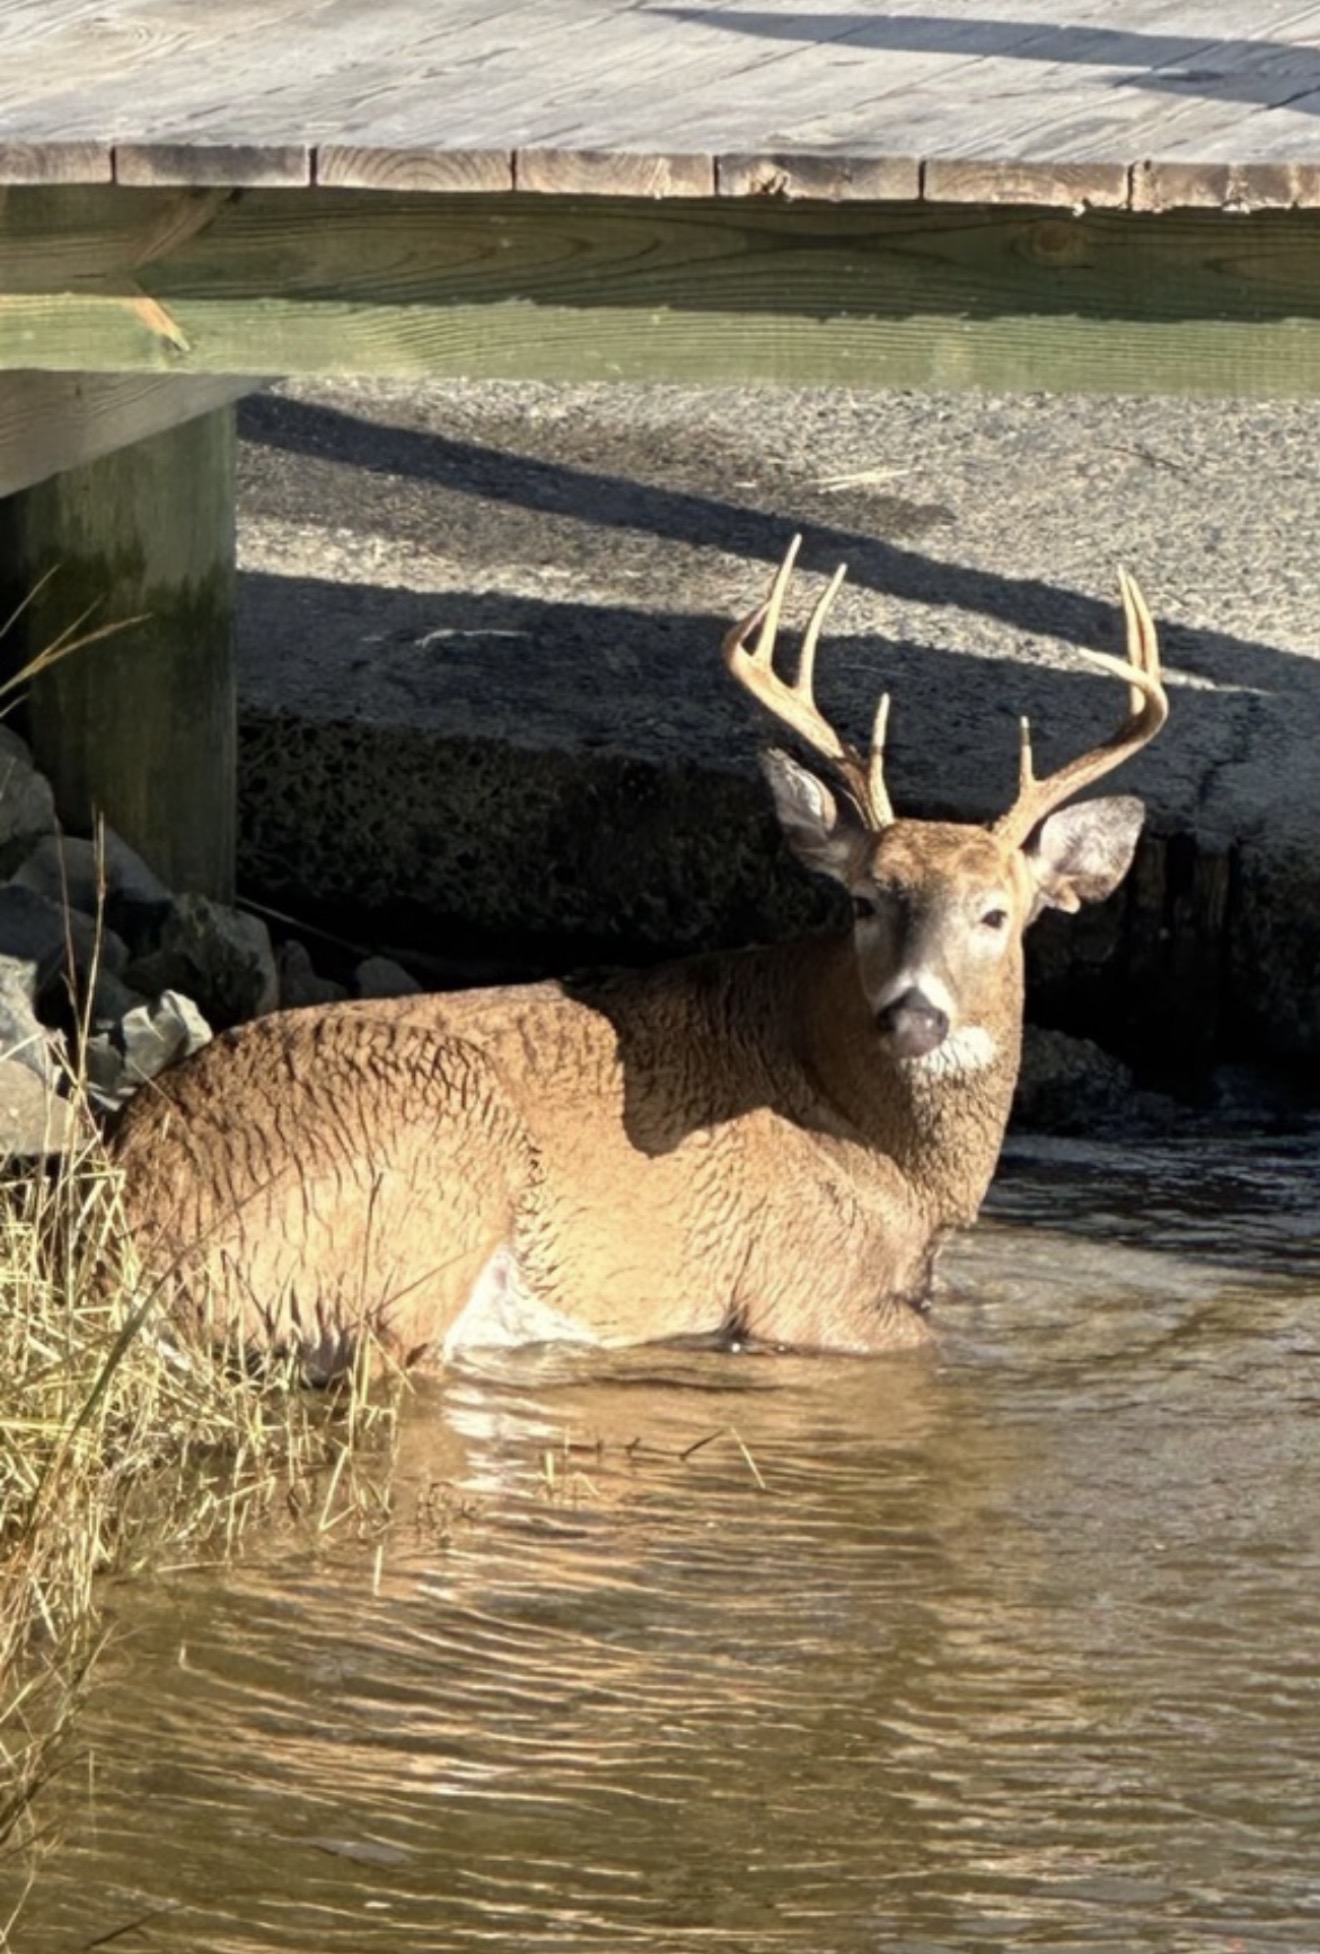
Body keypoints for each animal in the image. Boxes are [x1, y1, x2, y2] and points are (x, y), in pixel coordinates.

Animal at [110, 538, 1166, 1377]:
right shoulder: (801, 1289)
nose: (913, 1013)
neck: (885, 1152)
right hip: (438, 1171)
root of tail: (125, 1210)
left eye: (997, 915)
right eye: (865, 899)